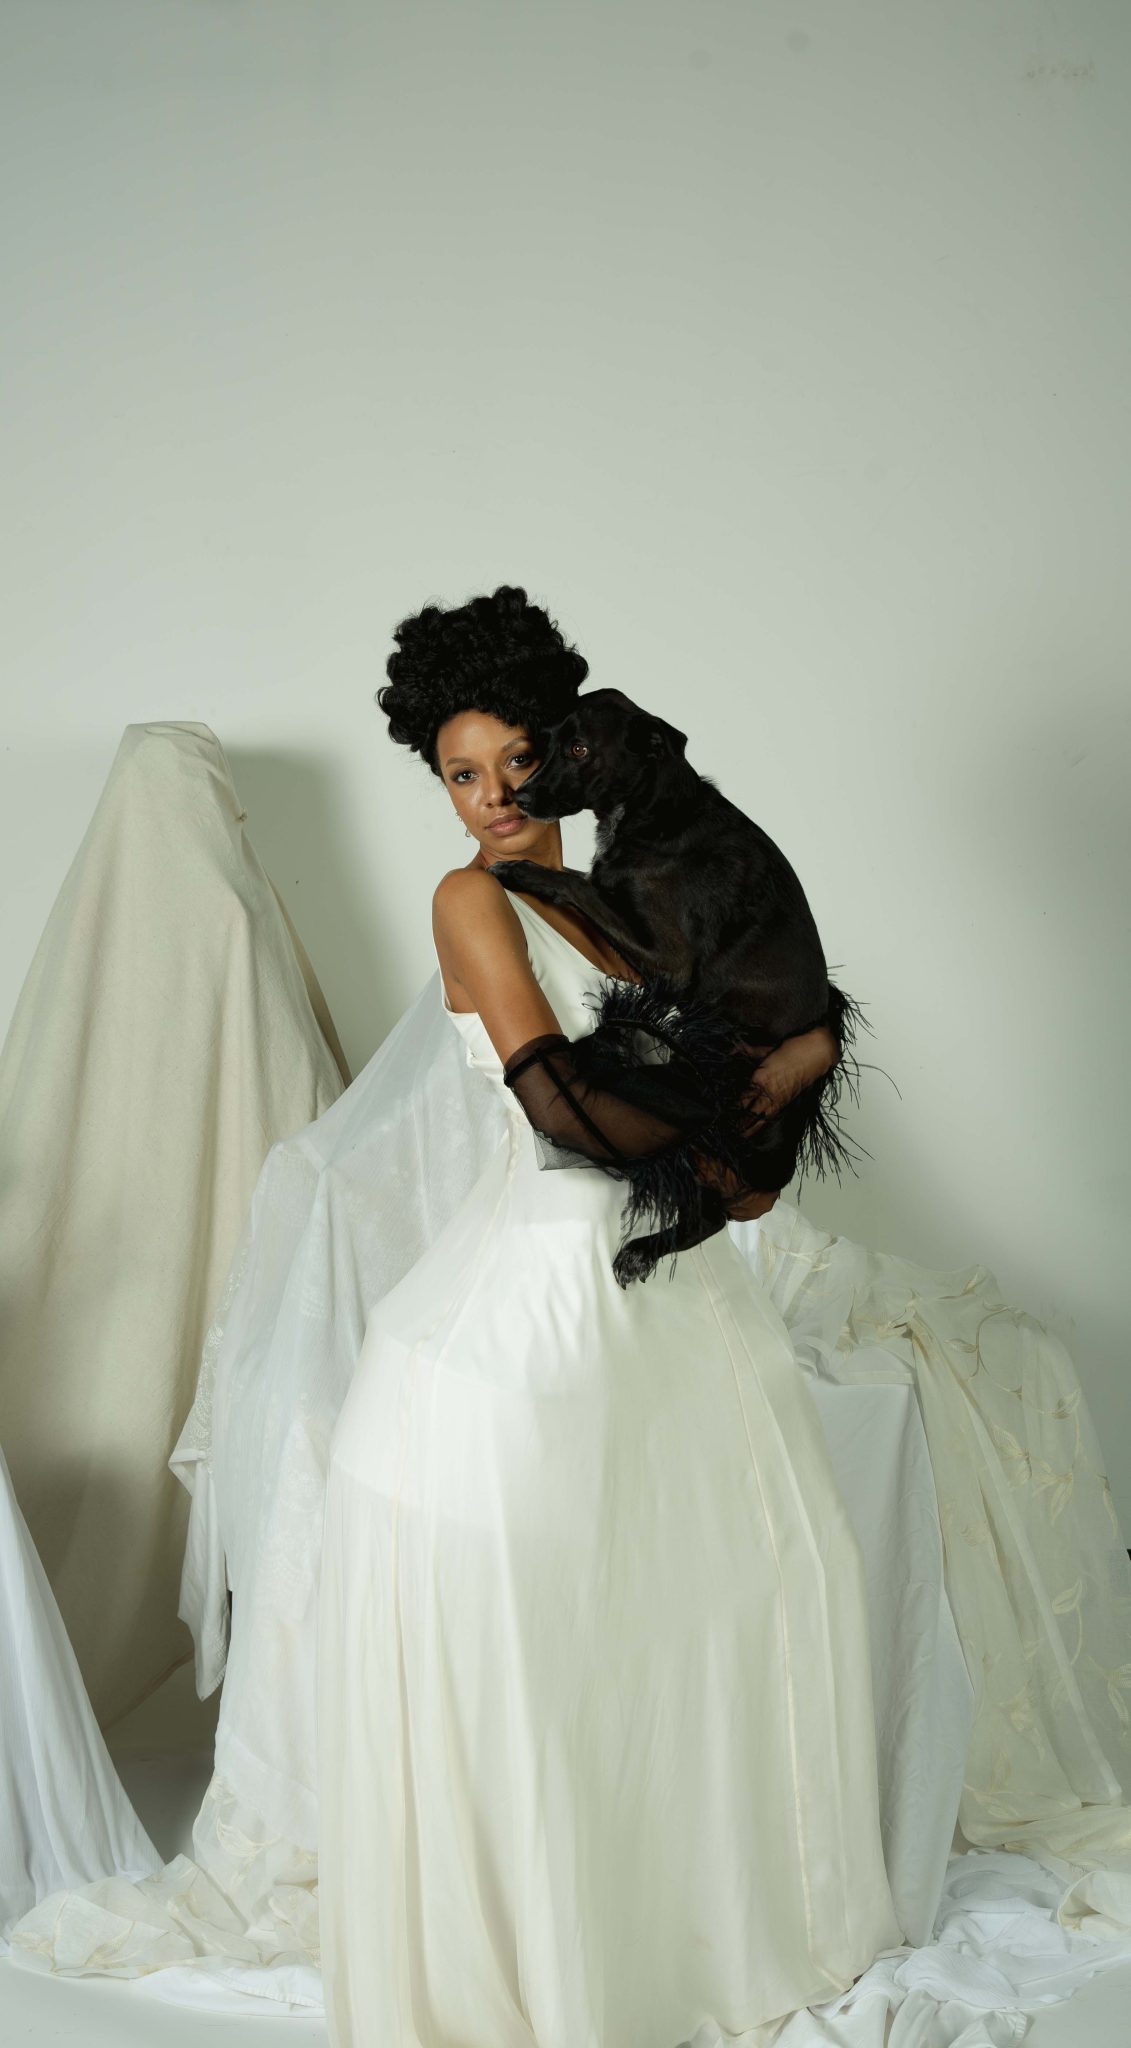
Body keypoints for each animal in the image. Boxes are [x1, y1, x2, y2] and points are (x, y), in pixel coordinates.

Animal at [489, 687, 874, 1286]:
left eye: (579, 748)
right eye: (543, 744)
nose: (521, 796)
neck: (653, 813)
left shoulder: (669, 961)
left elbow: (580, 883)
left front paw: (524, 871)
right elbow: (586, 879)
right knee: (708, 1216)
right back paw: (644, 1249)